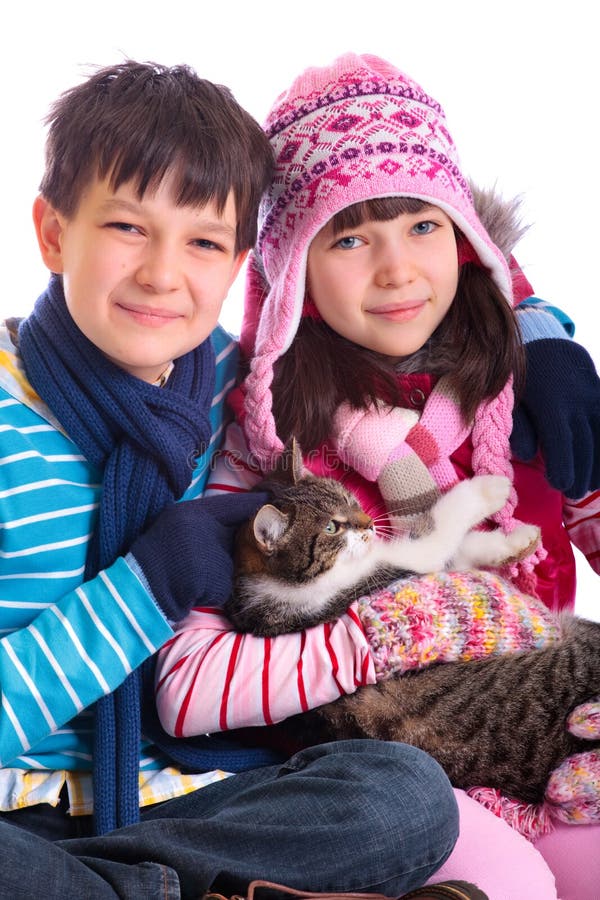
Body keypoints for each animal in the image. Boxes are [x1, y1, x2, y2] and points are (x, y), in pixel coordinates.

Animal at [225, 446, 600, 804]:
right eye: (332, 527)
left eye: (350, 499)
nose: (369, 523)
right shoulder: (410, 565)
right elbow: (439, 527)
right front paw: (491, 487)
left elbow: (463, 551)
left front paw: (515, 541)